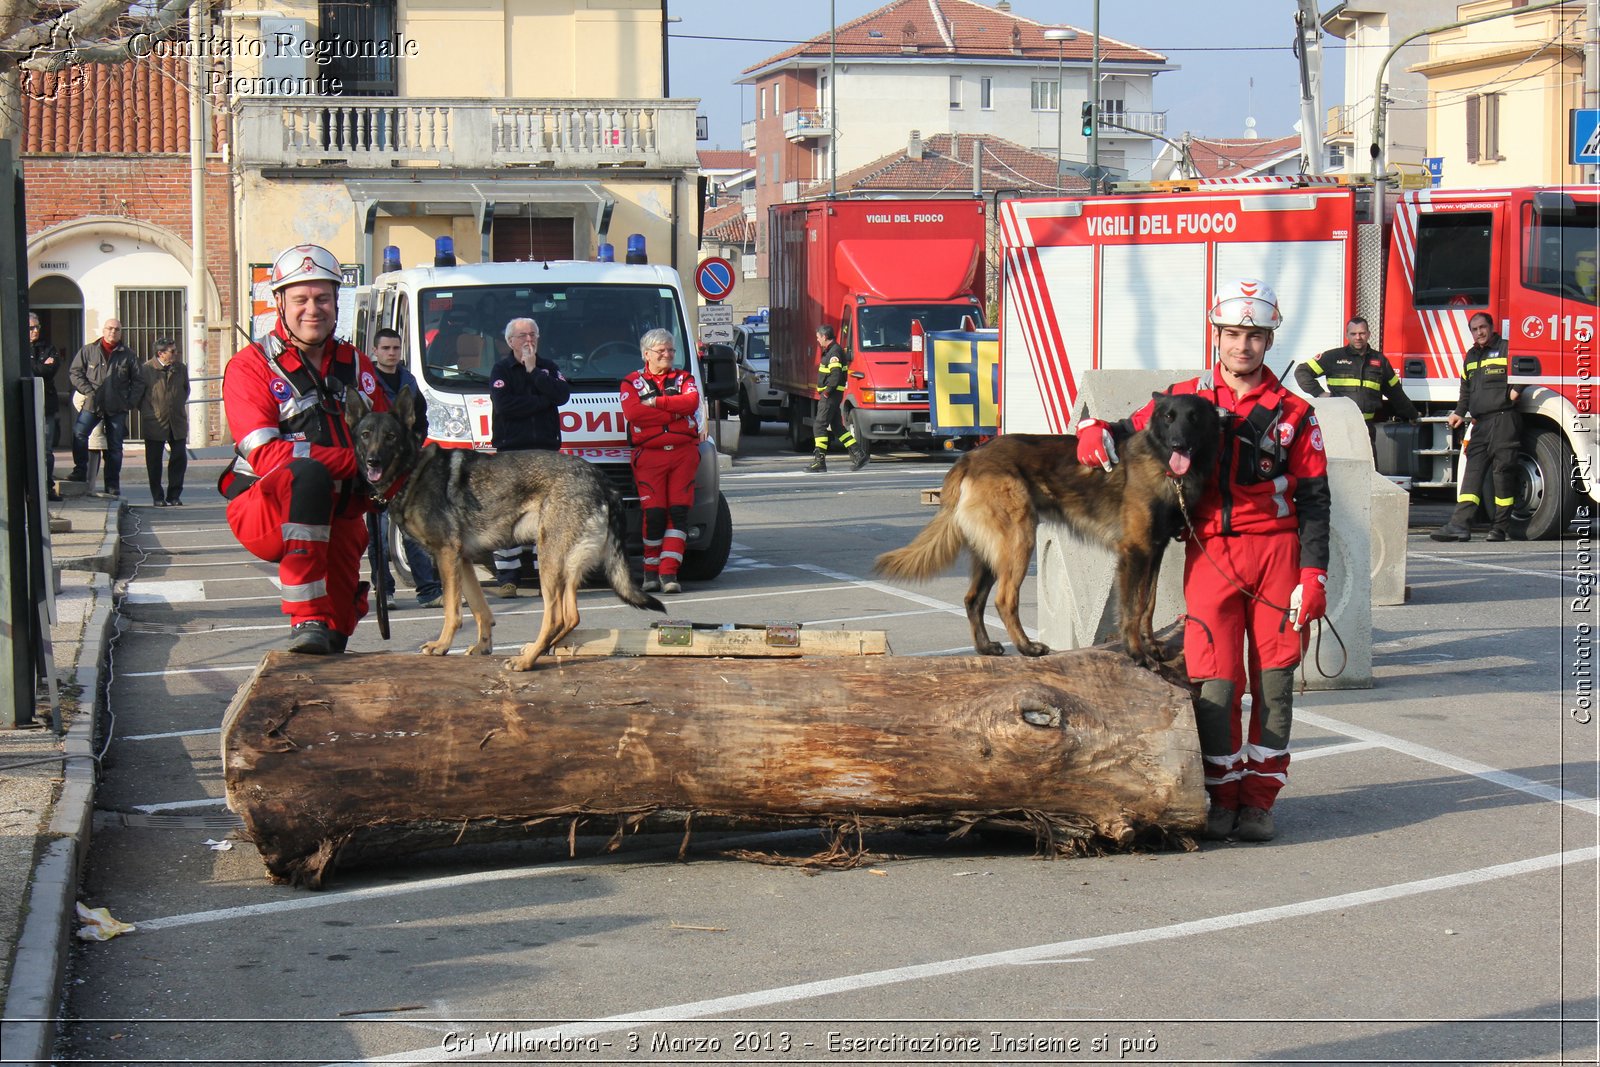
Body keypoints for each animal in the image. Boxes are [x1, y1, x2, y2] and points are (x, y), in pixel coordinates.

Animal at [344, 383, 662, 671]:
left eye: (390, 437)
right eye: (365, 435)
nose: (373, 461)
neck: (411, 471)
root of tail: (601, 479)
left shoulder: (446, 555)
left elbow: (452, 611)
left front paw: (442, 645)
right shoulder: (462, 560)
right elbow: (480, 608)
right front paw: (482, 646)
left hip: (549, 561)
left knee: (557, 616)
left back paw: (527, 661)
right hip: (566, 567)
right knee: (571, 616)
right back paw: (536, 650)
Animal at [870, 388, 1216, 662]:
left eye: (1194, 418)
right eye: (1168, 417)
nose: (1178, 444)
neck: (1160, 462)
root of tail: (970, 457)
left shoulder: (1154, 551)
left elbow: (1148, 603)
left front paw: (1151, 645)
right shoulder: (1136, 552)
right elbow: (1132, 608)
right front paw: (1137, 653)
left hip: (991, 552)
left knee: (973, 599)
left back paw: (986, 648)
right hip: (1018, 541)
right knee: (1004, 599)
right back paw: (1027, 647)